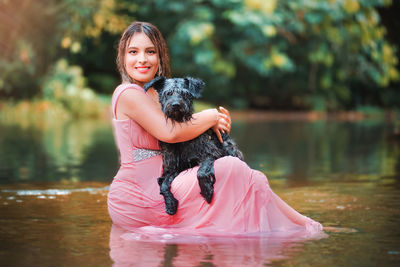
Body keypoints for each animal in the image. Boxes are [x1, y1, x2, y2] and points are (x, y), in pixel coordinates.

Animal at [145, 77, 244, 216]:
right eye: (168, 93)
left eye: (185, 94)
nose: (176, 105)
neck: (182, 137)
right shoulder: (171, 169)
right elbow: (163, 184)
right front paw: (171, 204)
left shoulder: (210, 155)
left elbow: (201, 172)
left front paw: (207, 191)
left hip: (229, 148)